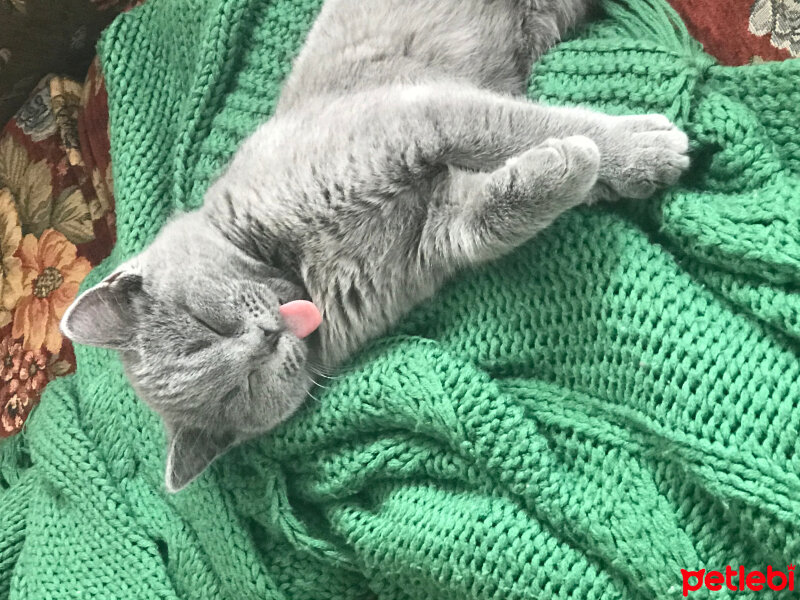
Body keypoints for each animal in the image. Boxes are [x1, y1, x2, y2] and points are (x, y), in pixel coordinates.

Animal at [62, 0, 692, 490]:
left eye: (204, 324)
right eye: (241, 388)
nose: (265, 337)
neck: (300, 266)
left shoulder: (413, 118)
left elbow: (514, 129)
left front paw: (637, 150)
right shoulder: (436, 230)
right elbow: (494, 215)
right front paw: (578, 165)